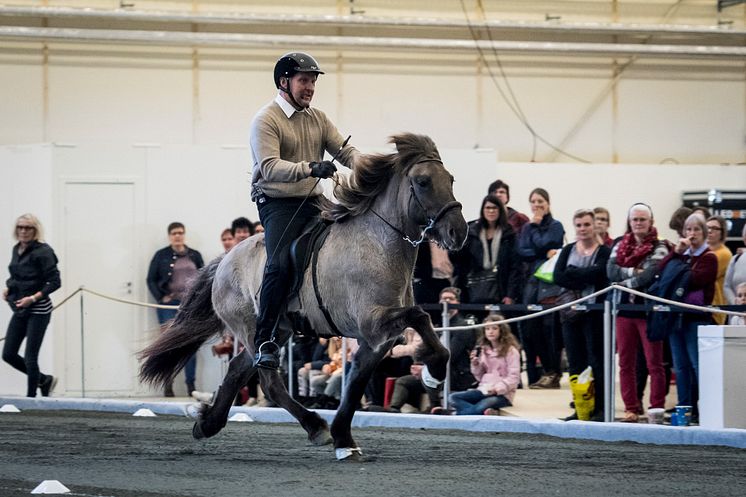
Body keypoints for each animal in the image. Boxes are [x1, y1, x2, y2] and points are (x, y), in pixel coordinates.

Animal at [138, 133, 464, 462]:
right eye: (422, 181)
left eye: (450, 179)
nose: (458, 232)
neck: (379, 244)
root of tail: (226, 258)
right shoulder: (373, 323)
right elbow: (420, 316)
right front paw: (433, 373)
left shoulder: (376, 339)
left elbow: (355, 382)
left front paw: (344, 440)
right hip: (252, 328)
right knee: (269, 381)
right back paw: (314, 425)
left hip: (276, 330)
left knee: (238, 369)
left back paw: (208, 423)